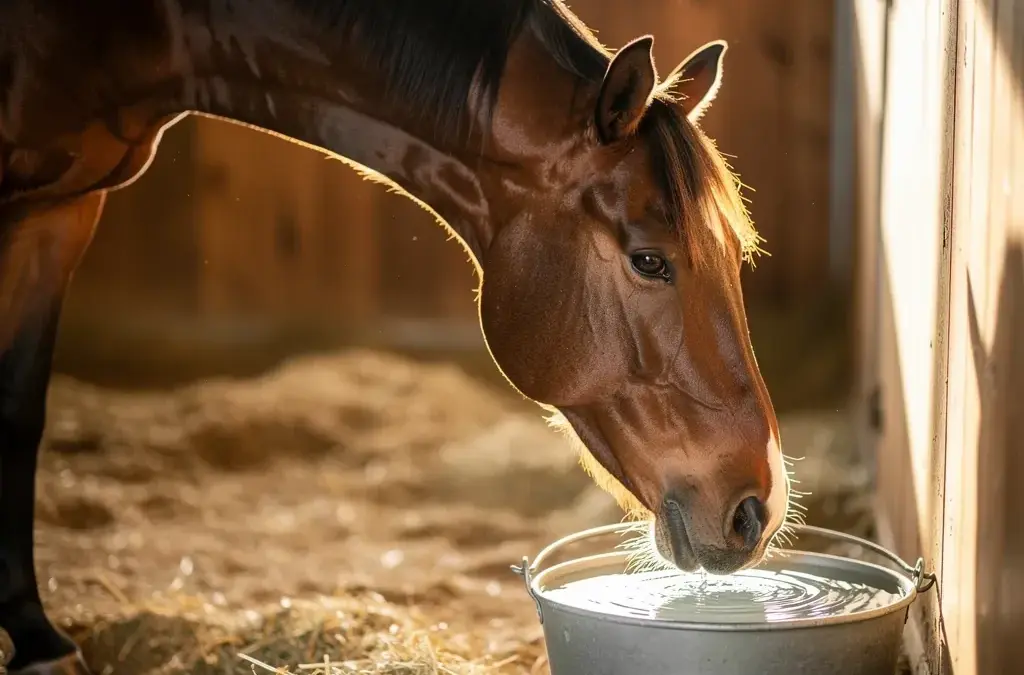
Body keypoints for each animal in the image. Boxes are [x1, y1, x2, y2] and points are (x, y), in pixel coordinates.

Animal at [0, 0, 793, 672]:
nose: (757, 509)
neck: (149, 28)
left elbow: (21, 413)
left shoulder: (64, 209)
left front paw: (38, 640)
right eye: (650, 260)